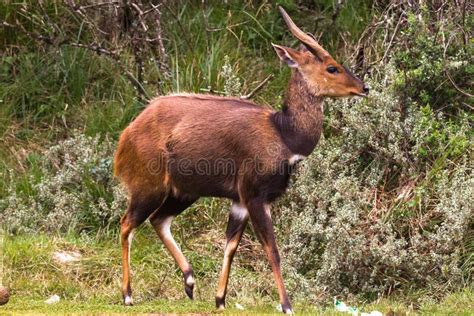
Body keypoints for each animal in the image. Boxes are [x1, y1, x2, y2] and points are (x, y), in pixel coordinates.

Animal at [114, 6, 366, 312]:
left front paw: (220, 300)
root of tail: (126, 137)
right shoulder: (254, 195)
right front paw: (287, 305)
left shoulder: (239, 201)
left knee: (158, 220)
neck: (284, 133)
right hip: (149, 186)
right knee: (127, 224)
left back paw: (190, 282)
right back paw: (128, 294)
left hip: (184, 192)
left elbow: (231, 246)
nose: (364, 88)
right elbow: (272, 249)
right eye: (332, 67)